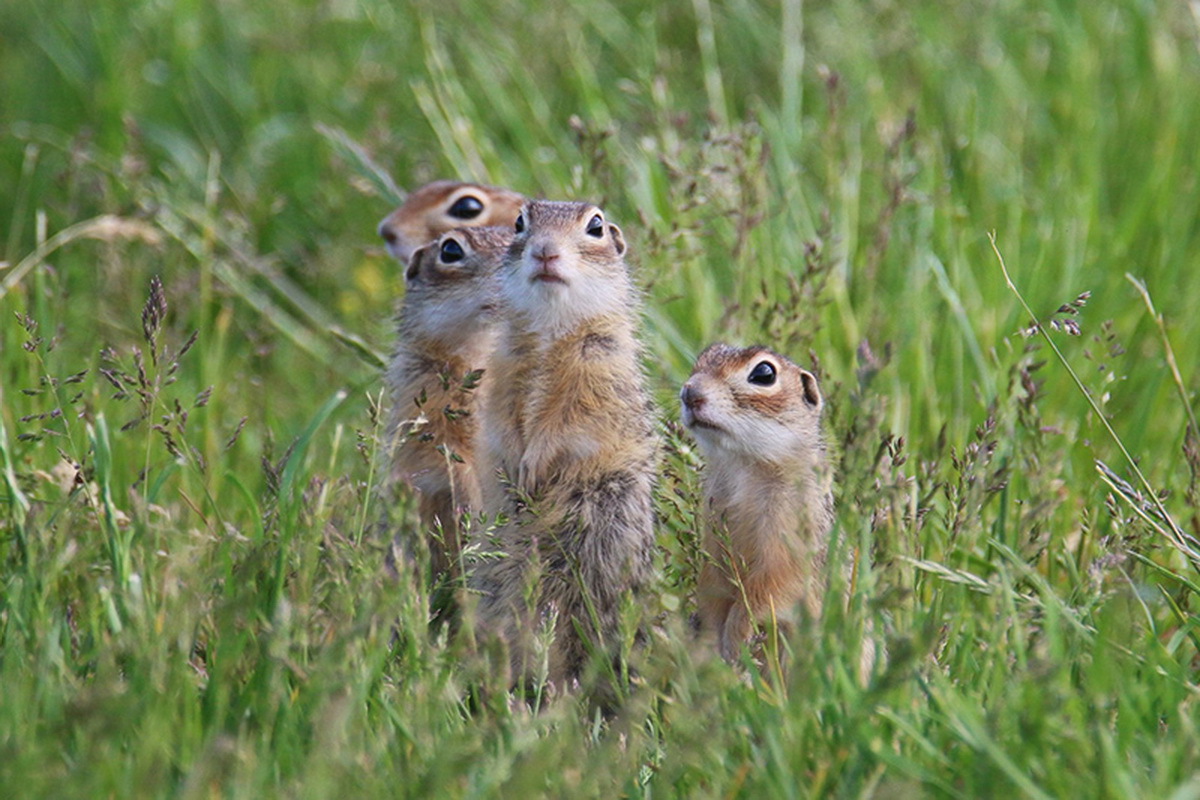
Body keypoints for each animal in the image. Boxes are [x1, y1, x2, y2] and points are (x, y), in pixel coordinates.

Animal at [468, 199, 657, 690]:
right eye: (520, 222)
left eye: (596, 226)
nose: (545, 252)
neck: (551, 328)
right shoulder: (503, 370)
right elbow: (502, 419)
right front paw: (514, 464)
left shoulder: (596, 370)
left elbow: (565, 424)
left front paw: (533, 466)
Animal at [681, 345, 840, 662]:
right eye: (705, 355)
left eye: (764, 373)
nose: (689, 393)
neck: (745, 465)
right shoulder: (713, 528)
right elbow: (712, 586)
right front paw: (707, 643)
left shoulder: (788, 538)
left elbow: (767, 590)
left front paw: (735, 640)